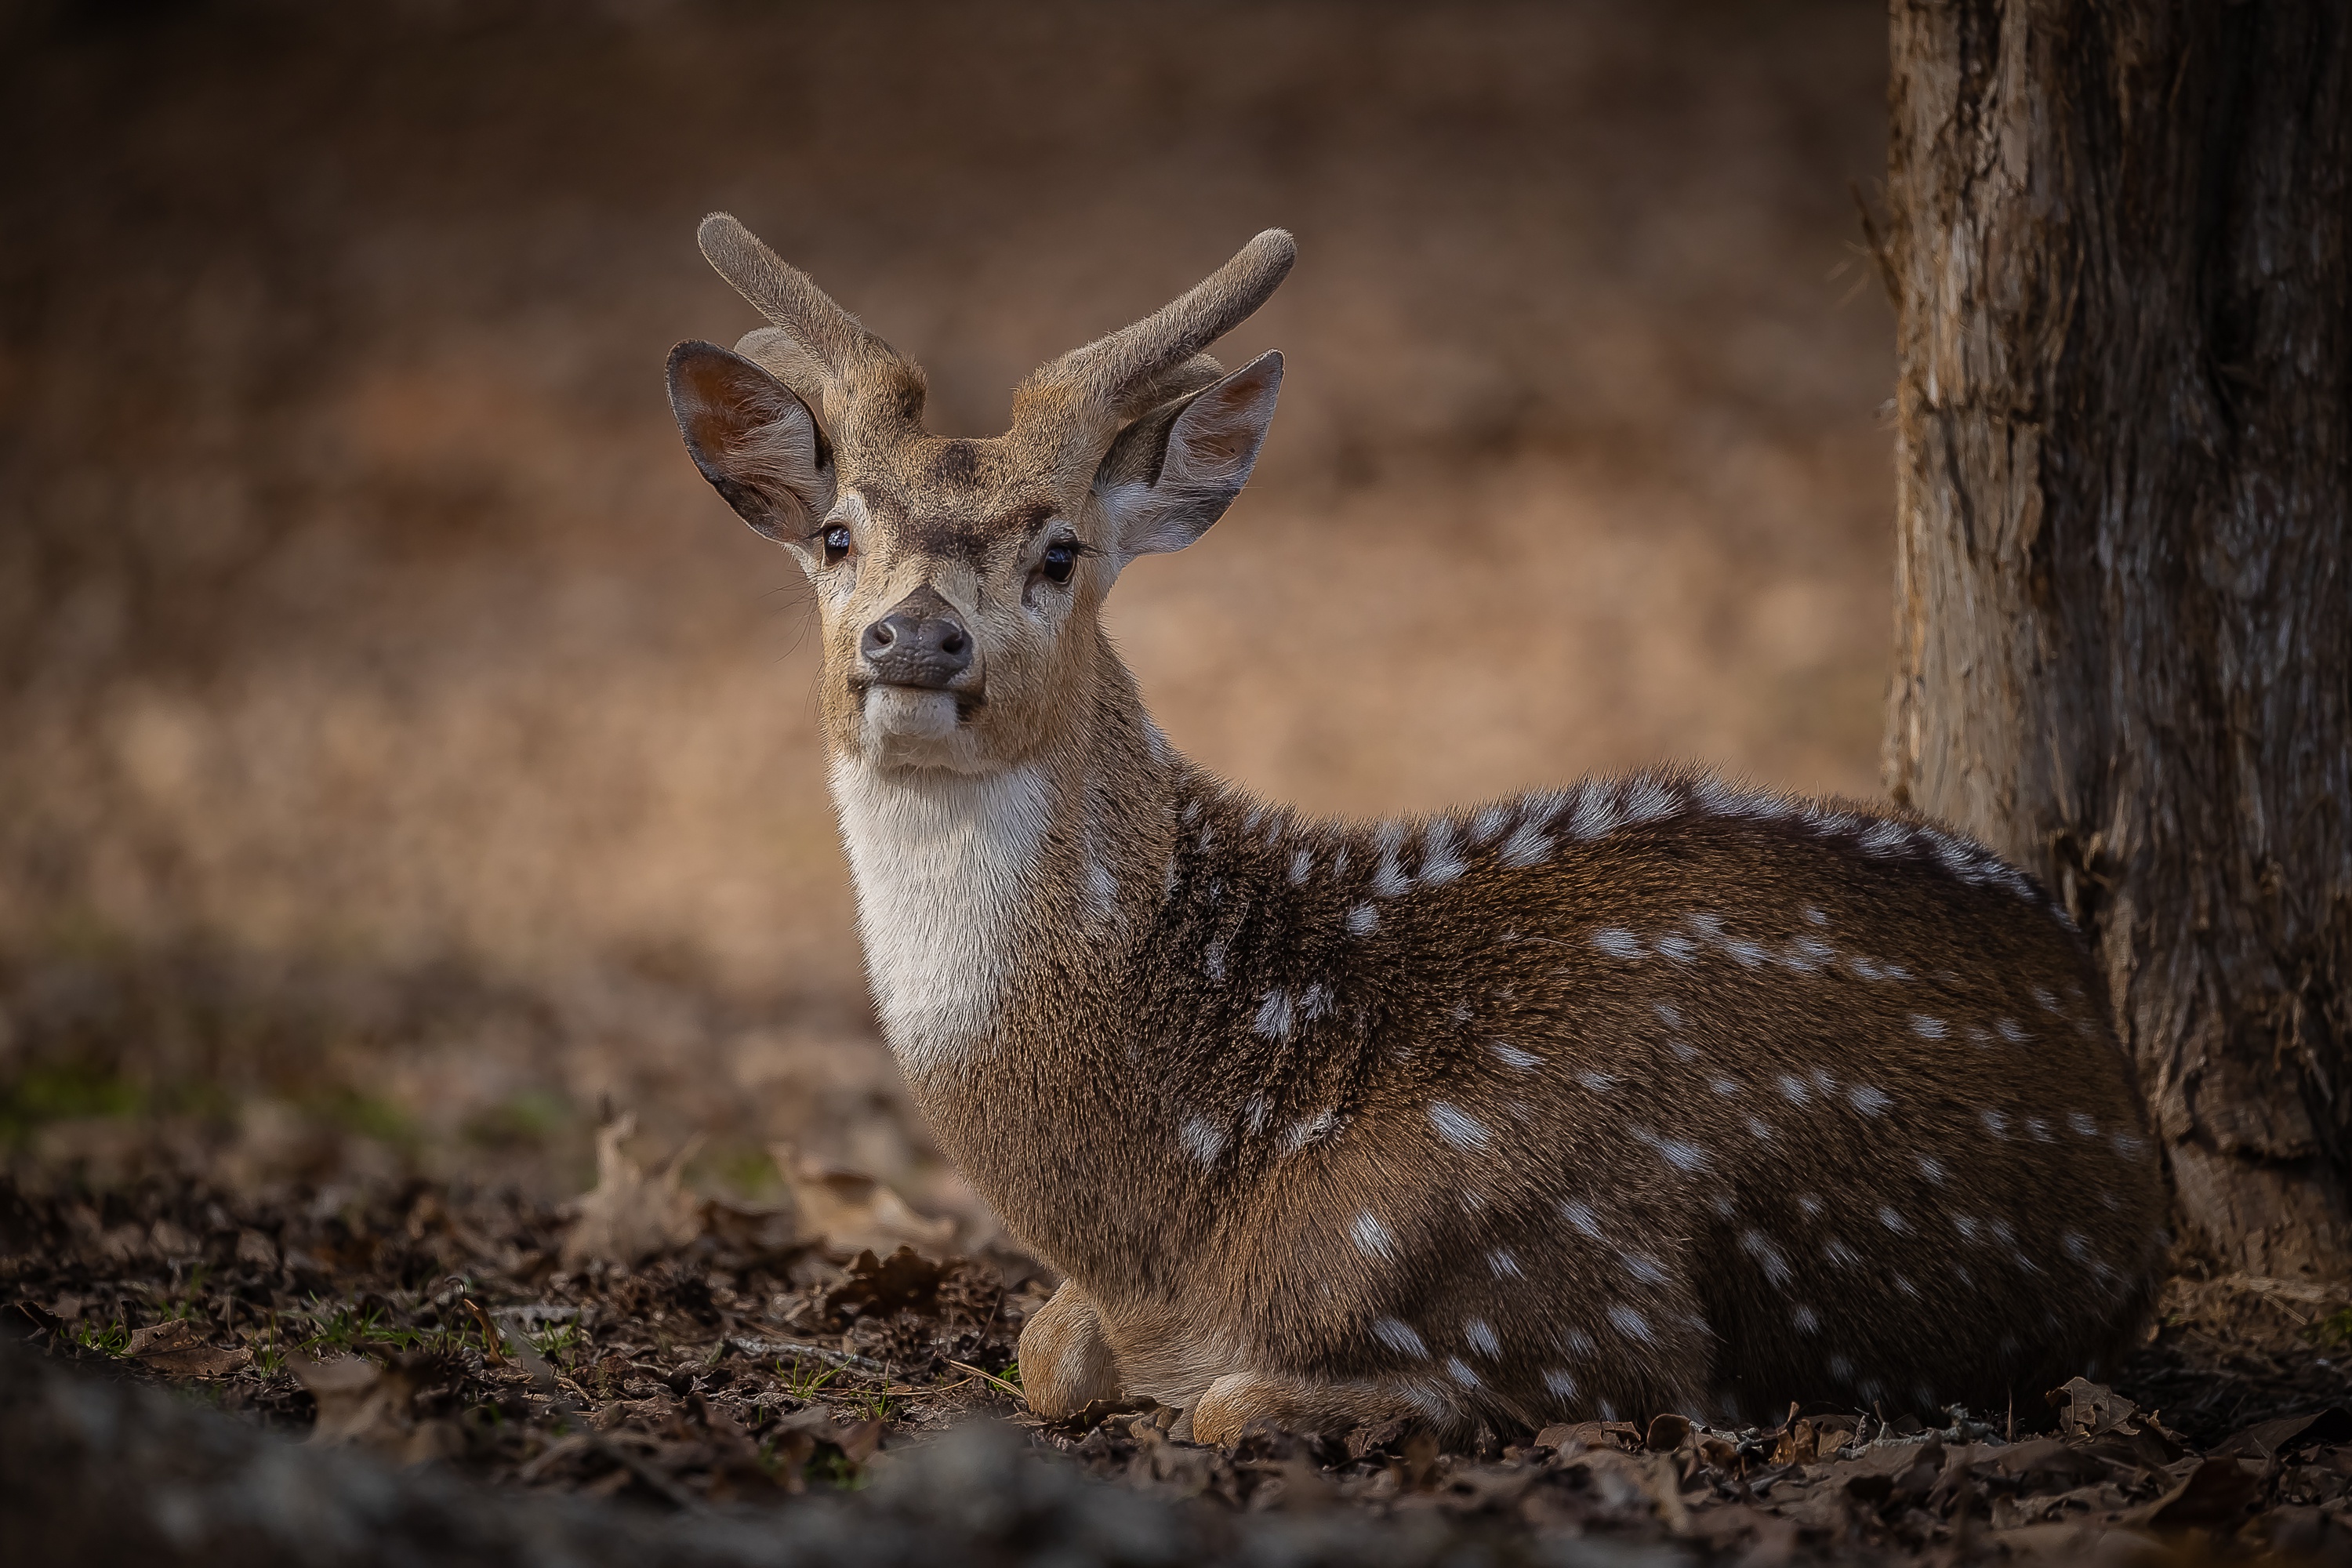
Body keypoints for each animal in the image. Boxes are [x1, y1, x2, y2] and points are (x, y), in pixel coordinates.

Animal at [664, 214, 2168, 1444]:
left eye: (1060, 550)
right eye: (839, 535)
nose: (915, 637)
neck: (1183, 1209)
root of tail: (2097, 1009)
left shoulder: (1590, 1323)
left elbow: (1228, 1407)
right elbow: (1046, 1352)